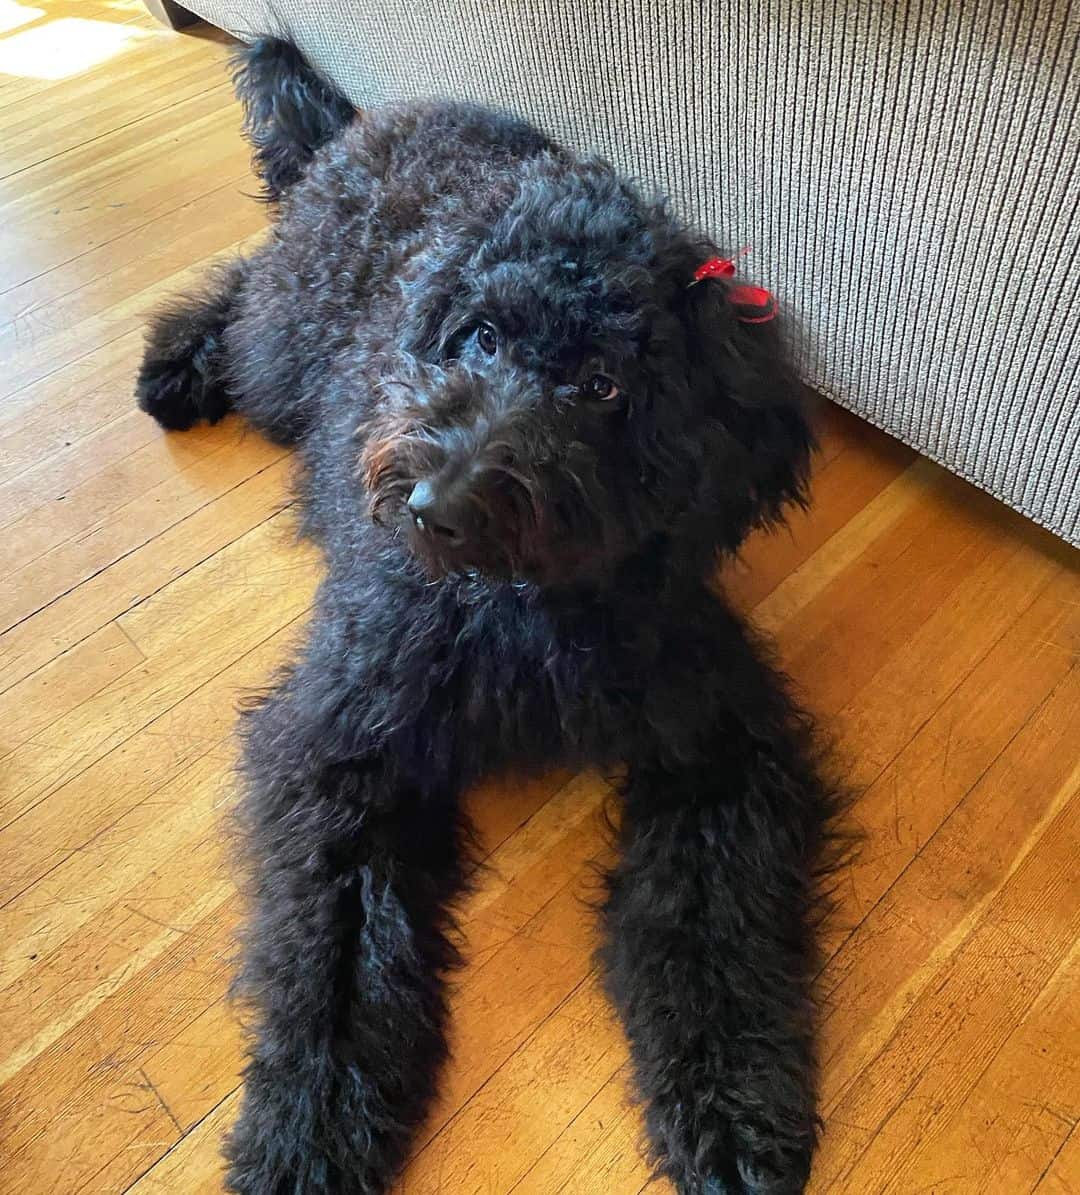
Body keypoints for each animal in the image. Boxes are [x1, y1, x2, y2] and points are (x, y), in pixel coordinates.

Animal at [135, 37, 841, 1195]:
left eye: (603, 385)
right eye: (477, 339)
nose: (433, 503)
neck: (523, 613)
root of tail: (366, 124)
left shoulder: (720, 743)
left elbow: (711, 925)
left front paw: (731, 1116)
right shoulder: (342, 749)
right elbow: (336, 960)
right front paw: (308, 1134)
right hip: (285, 343)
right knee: (244, 290)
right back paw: (177, 366)